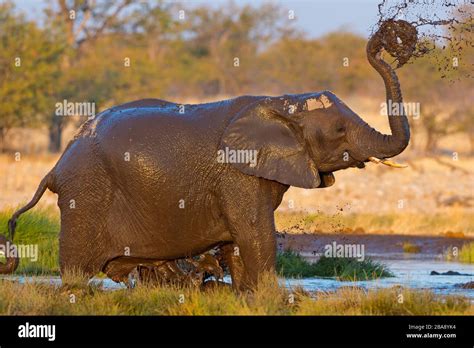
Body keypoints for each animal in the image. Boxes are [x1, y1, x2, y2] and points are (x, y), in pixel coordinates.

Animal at [0, 19, 414, 290]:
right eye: (339, 131)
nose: (388, 37)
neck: (282, 101)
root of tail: (55, 166)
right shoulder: (237, 175)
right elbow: (256, 234)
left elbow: (239, 242)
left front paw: (249, 298)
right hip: (86, 192)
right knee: (75, 272)